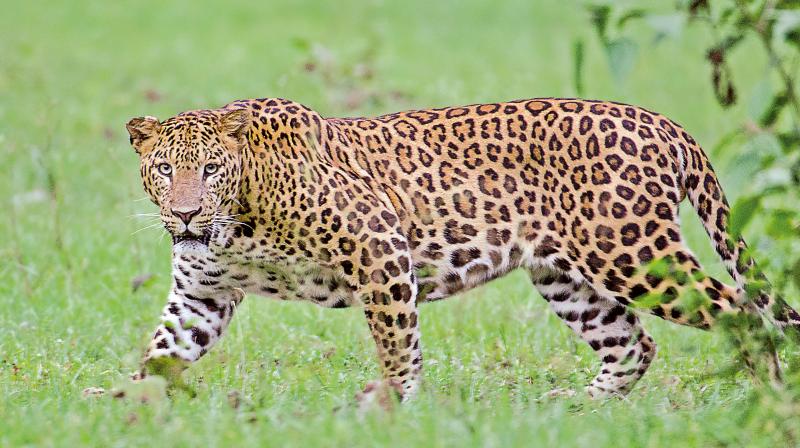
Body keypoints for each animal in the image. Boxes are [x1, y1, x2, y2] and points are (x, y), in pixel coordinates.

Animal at [125, 97, 800, 401]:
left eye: (211, 169)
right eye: (165, 169)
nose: (185, 213)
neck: (236, 222)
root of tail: (664, 122)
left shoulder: (379, 244)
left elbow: (396, 342)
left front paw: (392, 406)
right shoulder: (201, 294)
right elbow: (162, 351)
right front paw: (122, 408)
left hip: (630, 253)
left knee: (742, 311)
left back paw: (769, 398)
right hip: (566, 276)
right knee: (633, 343)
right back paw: (578, 410)